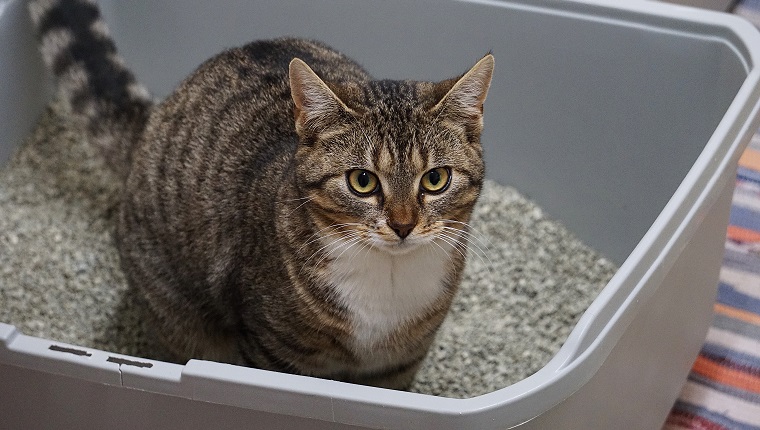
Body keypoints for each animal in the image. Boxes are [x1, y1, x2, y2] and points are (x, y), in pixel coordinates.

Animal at [28, 0, 492, 390]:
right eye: (362, 181)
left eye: (435, 179)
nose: (402, 224)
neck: (387, 282)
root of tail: (151, 123)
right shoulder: (272, 348)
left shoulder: (400, 363)